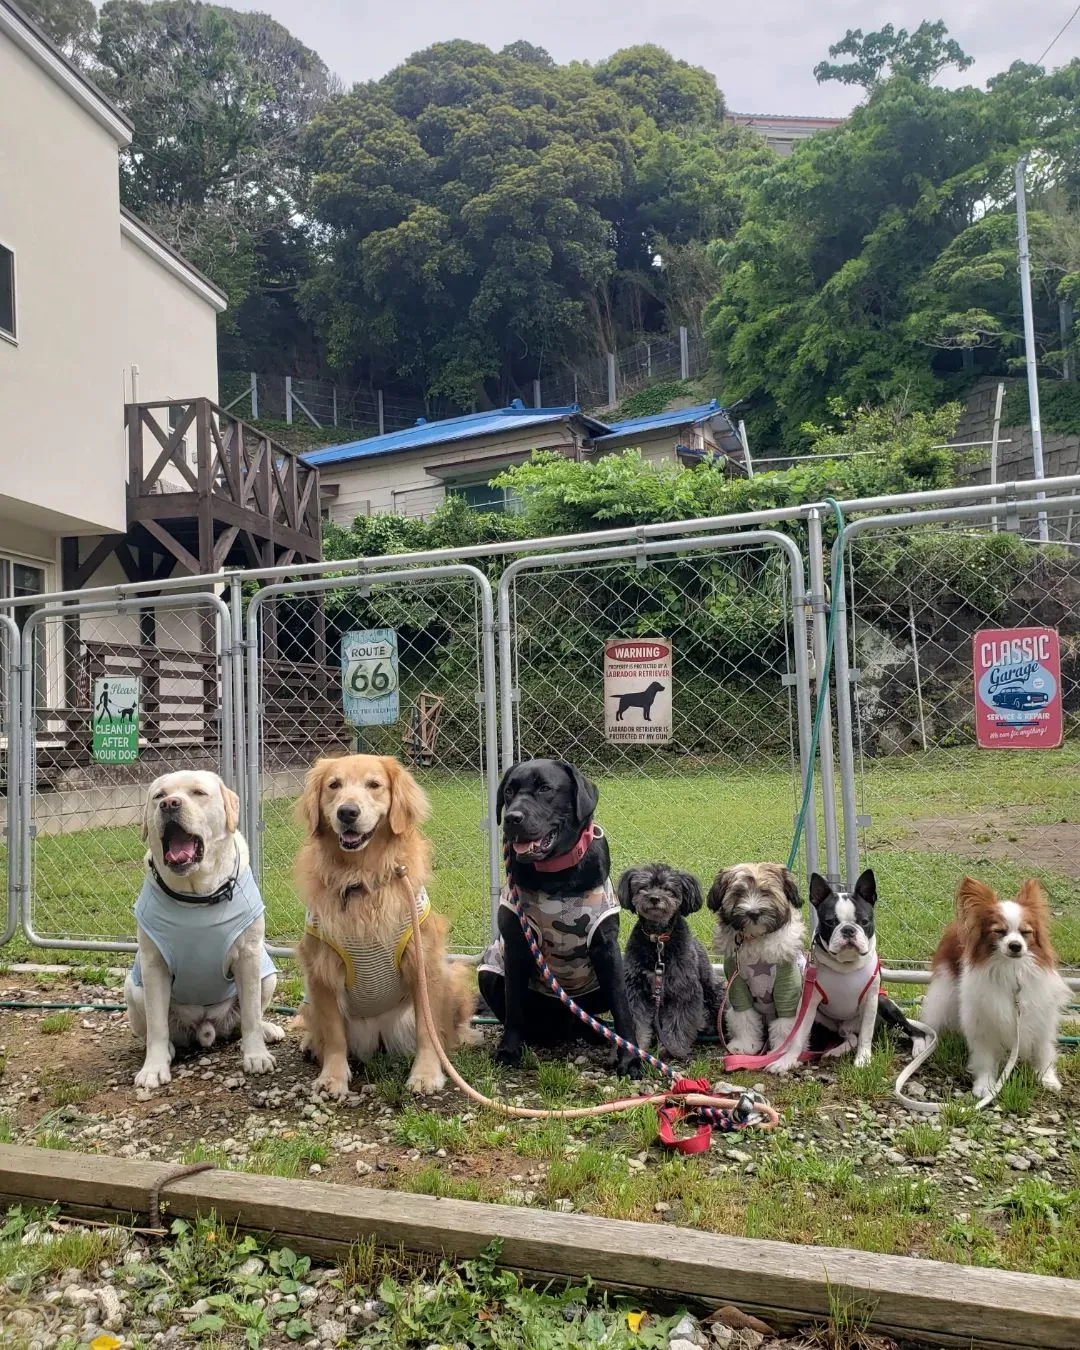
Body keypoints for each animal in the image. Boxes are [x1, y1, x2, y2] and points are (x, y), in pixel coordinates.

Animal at [621, 864, 723, 1063]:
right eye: (643, 887)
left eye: (668, 889)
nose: (654, 898)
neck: (658, 940)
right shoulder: (635, 990)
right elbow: (637, 1021)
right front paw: (636, 1046)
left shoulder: (683, 990)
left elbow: (678, 1024)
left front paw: (672, 1049)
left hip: (712, 989)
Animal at [918, 874, 1069, 1096]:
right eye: (999, 931)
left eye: (1026, 932)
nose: (1015, 946)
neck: (1011, 970)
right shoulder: (983, 1021)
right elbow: (985, 1058)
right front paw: (985, 1086)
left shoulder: (1040, 1016)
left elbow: (1043, 1050)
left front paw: (1047, 1078)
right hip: (945, 991)